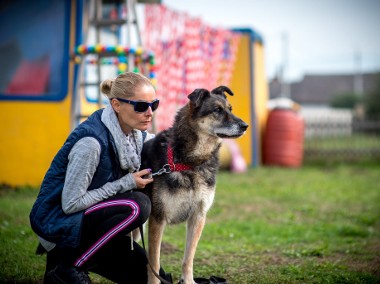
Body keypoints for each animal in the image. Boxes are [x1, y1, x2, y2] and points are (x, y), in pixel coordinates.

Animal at [141, 86, 248, 284]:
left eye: (230, 109)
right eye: (217, 110)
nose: (245, 126)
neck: (190, 162)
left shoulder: (198, 216)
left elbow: (188, 257)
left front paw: (189, 281)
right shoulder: (158, 218)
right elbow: (154, 261)